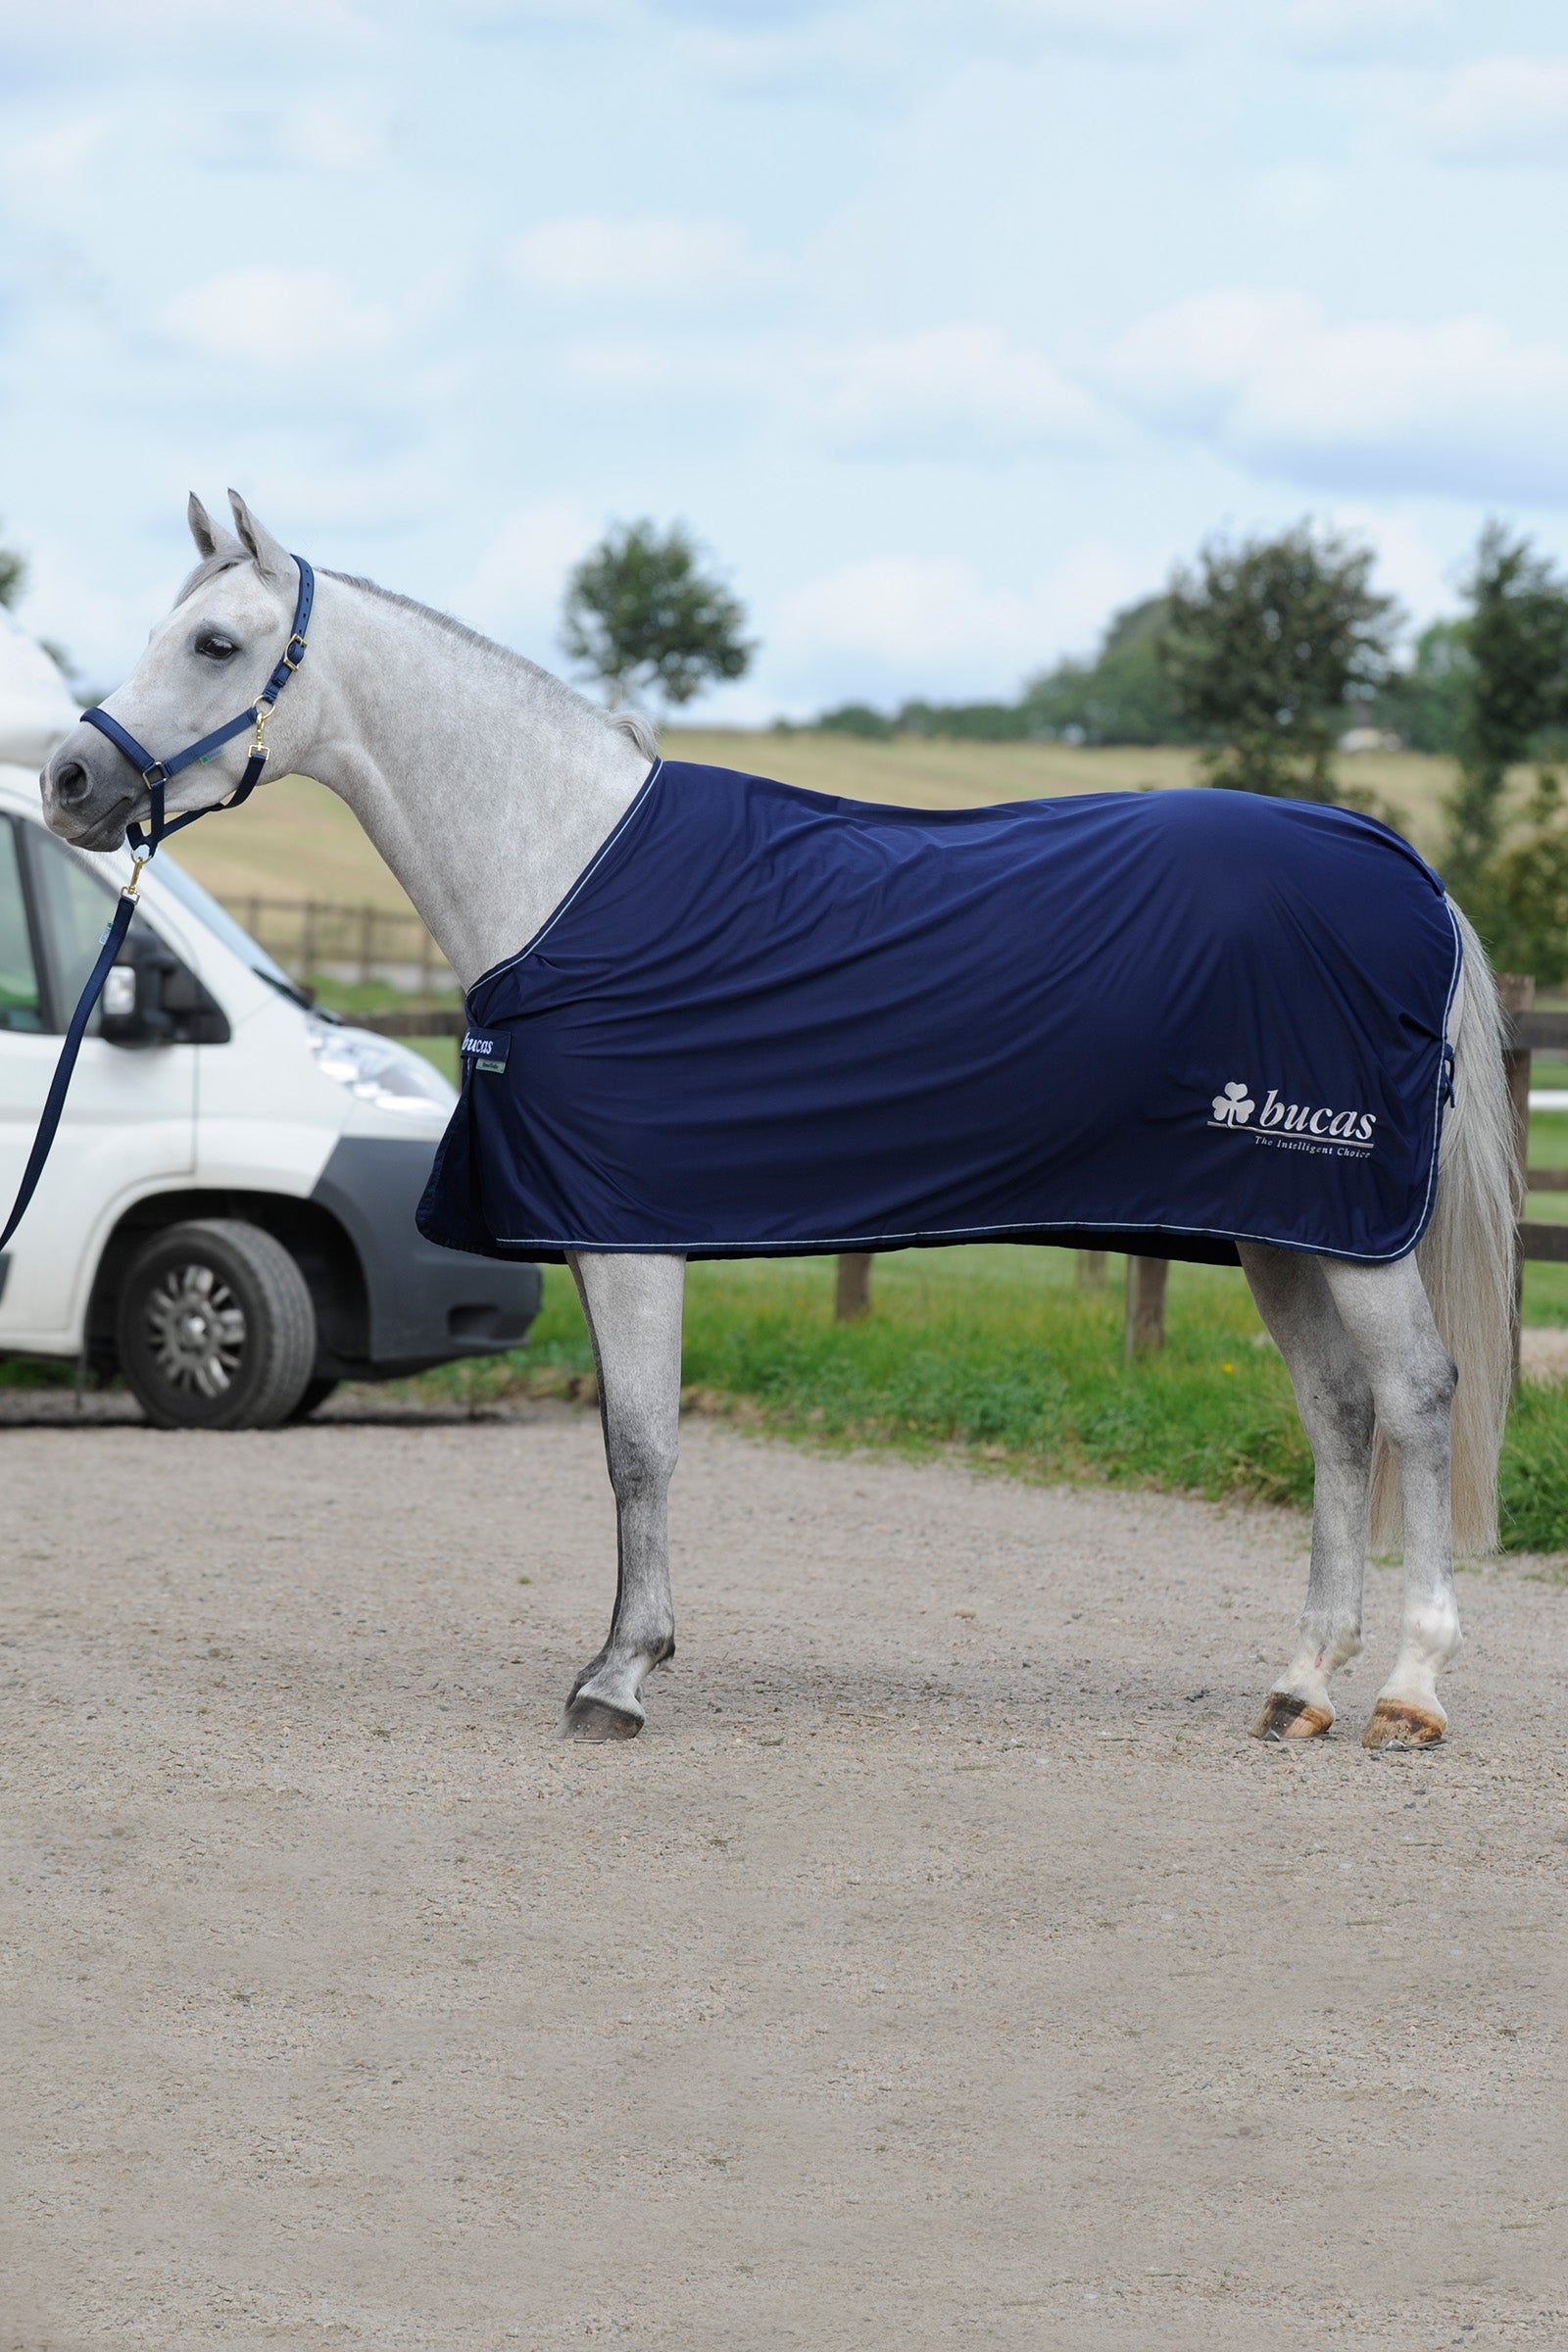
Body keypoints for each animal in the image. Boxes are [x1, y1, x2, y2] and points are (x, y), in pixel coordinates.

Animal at [40, 491, 1517, 1751]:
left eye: (214, 643)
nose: (67, 782)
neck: (564, 868)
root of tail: (1412, 878)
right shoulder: (601, 1231)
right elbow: (625, 1445)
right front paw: (629, 1655)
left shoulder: (630, 1232)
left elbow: (641, 1447)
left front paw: (620, 1677)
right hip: (1284, 1228)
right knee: (1337, 1413)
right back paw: (1300, 1685)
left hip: (1351, 1226)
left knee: (1415, 1398)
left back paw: (1410, 1691)